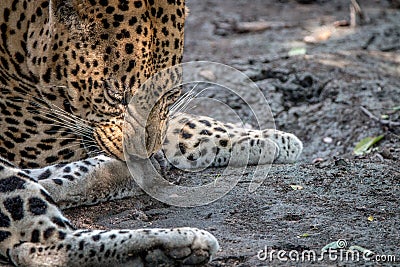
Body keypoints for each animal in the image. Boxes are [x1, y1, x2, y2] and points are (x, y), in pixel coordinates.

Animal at [0, 1, 304, 266]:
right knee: (40, 246)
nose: (141, 153)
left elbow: (175, 124)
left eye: (168, 93)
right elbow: (176, 126)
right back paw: (174, 243)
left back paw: (124, 173)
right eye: (114, 95)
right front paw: (266, 138)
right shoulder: (43, 139)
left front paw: (266, 136)